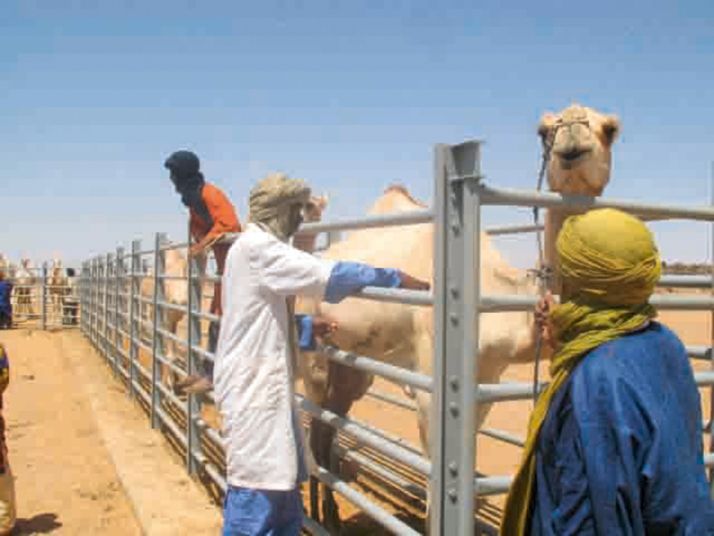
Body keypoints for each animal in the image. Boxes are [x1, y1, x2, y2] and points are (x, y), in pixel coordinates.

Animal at [294, 102, 616, 528]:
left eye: (610, 129)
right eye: (544, 130)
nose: (573, 144)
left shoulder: (488, 378)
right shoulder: (432, 385)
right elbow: (436, 483)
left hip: (351, 365)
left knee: (329, 426)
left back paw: (327, 514)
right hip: (312, 348)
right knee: (315, 426)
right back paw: (314, 515)